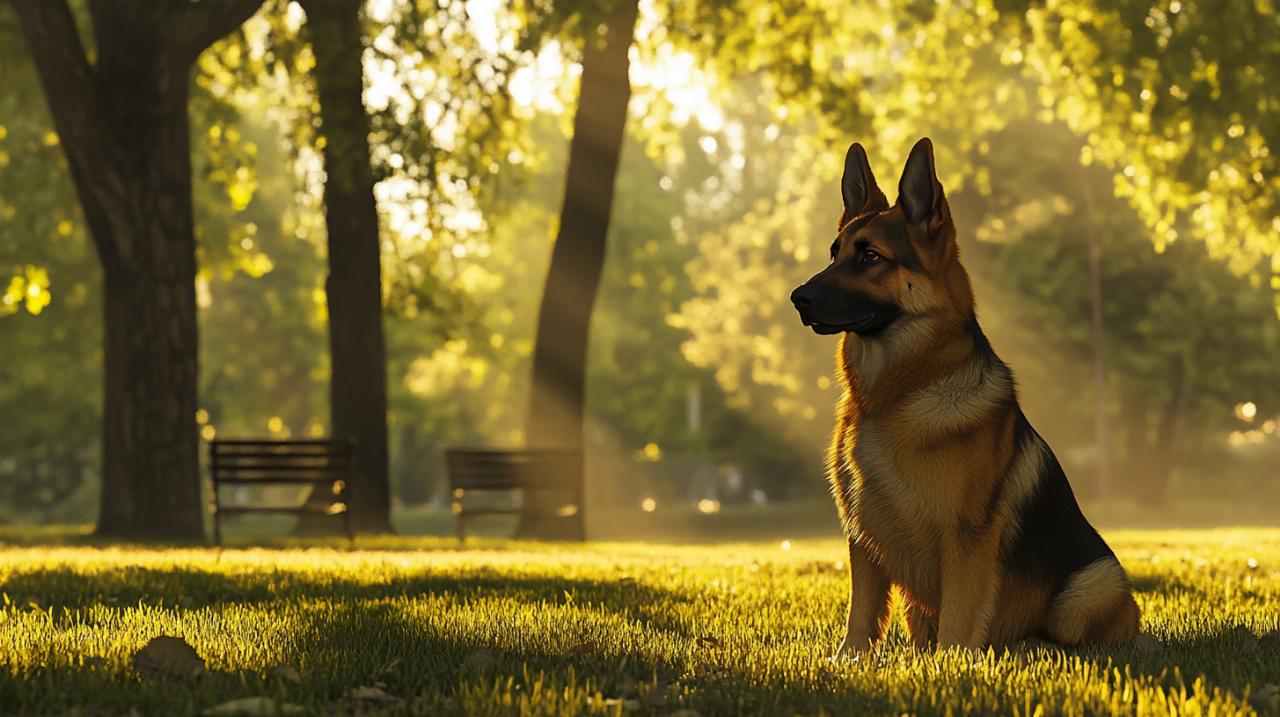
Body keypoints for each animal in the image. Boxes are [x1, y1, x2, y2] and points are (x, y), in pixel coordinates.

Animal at [788, 138, 1141, 655]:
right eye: (834, 254)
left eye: (870, 256)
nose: (798, 297)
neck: (896, 394)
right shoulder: (862, 535)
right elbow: (862, 612)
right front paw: (849, 660)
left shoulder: (966, 538)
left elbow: (960, 613)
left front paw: (951, 665)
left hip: (1089, 587)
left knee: (1069, 638)